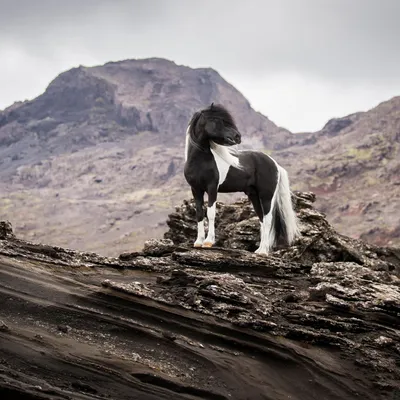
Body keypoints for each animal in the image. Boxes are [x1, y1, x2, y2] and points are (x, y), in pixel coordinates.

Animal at [183, 102, 298, 253]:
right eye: (218, 120)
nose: (238, 136)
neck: (199, 161)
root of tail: (275, 164)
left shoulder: (212, 188)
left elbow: (211, 213)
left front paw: (208, 242)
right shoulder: (196, 189)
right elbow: (199, 214)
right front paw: (198, 242)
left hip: (266, 196)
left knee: (268, 220)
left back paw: (263, 251)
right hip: (254, 195)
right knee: (261, 219)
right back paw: (259, 250)